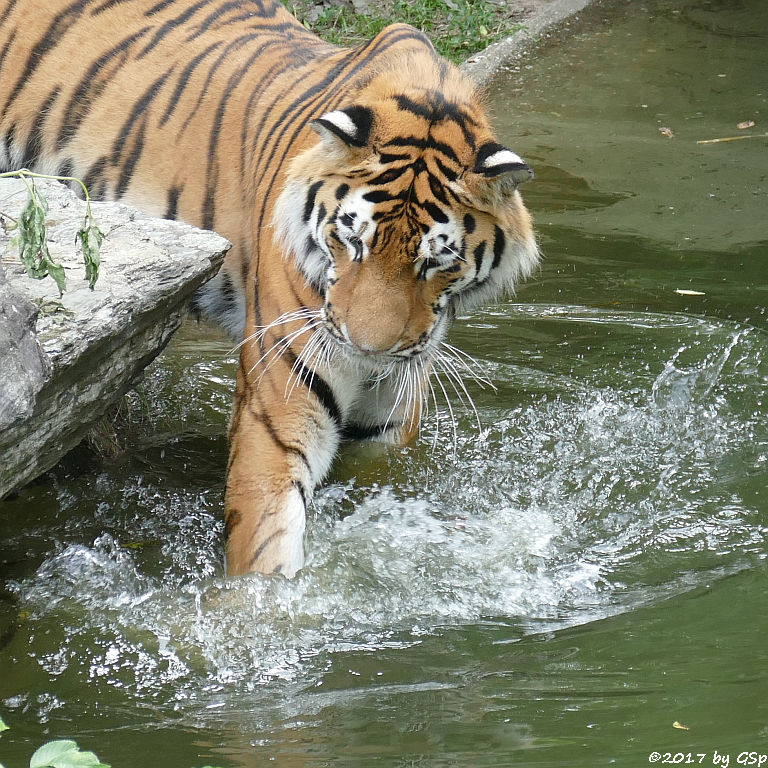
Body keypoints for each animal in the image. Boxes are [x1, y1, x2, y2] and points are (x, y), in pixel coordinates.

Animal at [0, 0, 536, 576]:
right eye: (353, 240)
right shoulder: (278, 415)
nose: (367, 350)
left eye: (435, 261)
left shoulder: (386, 428)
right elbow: (267, 556)